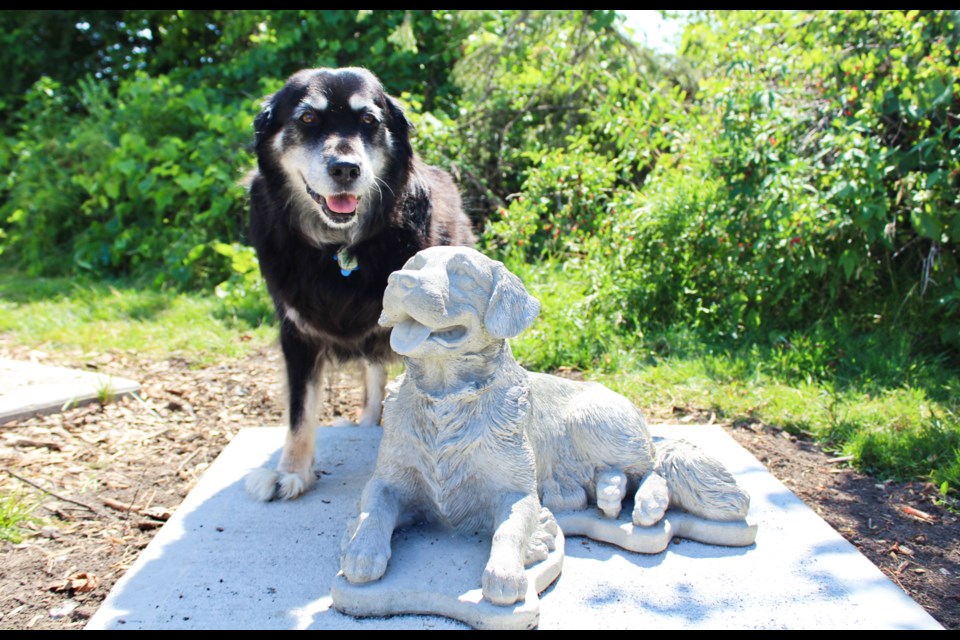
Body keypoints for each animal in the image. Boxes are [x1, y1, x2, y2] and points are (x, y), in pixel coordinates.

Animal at [246, 69, 474, 500]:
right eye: (307, 118)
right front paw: (291, 472)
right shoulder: (296, 333)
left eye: (369, 120)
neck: (341, 249)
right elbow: (300, 410)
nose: (345, 169)